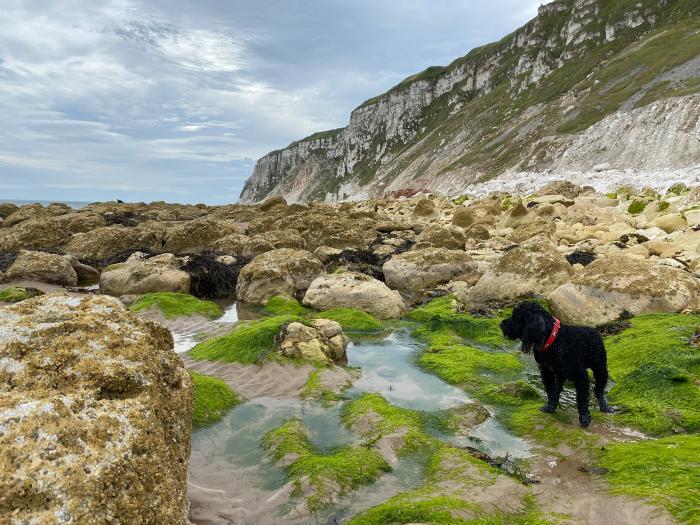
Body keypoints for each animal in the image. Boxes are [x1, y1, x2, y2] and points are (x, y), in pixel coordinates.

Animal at [498, 300, 612, 428]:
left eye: (516, 316)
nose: (501, 324)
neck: (555, 340)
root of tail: (596, 332)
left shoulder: (580, 375)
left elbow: (582, 398)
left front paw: (584, 418)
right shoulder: (547, 372)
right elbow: (551, 391)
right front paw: (550, 408)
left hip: (600, 369)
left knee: (599, 391)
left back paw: (605, 407)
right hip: (561, 374)